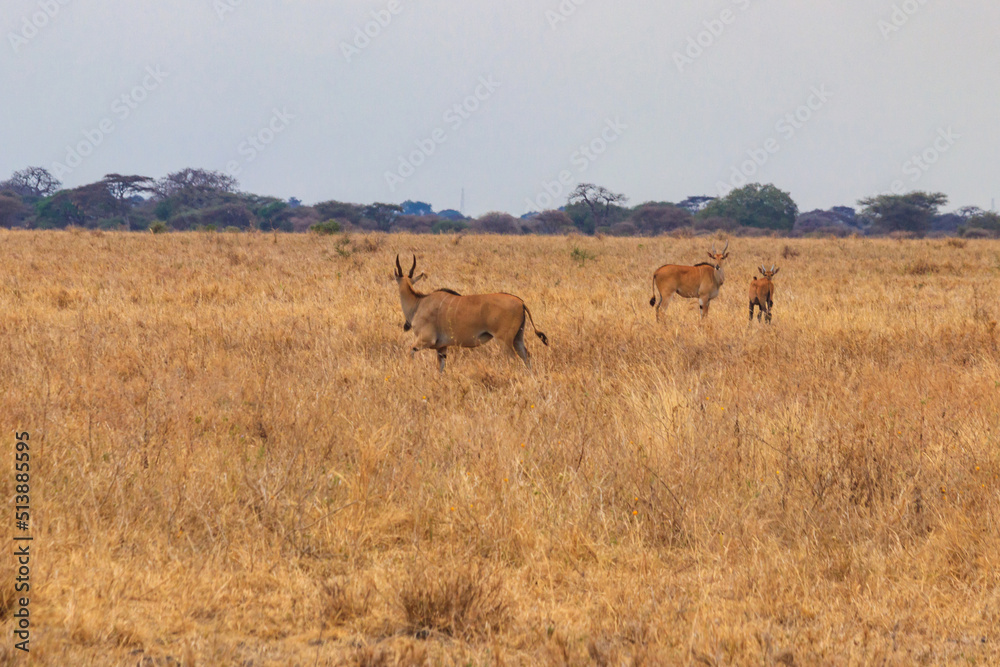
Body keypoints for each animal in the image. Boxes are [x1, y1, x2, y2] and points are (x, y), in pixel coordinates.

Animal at [392, 254, 552, 374]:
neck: (419, 302)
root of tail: (521, 302)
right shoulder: (442, 348)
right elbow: (440, 369)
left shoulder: (426, 340)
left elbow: (410, 351)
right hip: (518, 338)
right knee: (527, 357)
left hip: (504, 341)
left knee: (513, 359)